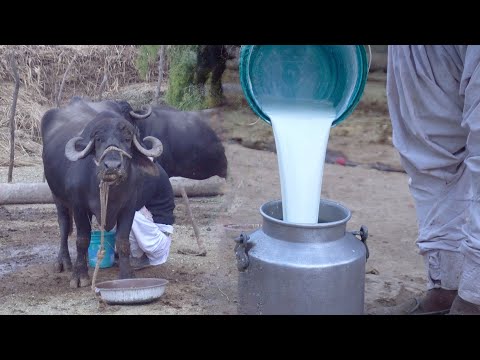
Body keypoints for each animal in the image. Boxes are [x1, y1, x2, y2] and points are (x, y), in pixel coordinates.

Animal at [41, 97, 162, 288]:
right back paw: (64, 262)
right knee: (64, 224)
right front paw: (79, 276)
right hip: (57, 196)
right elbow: (82, 239)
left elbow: (122, 241)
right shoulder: (79, 207)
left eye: (127, 138)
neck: (111, 191)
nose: (112, 166)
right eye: (98, 139)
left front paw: (127, 275)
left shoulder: (129, 207)